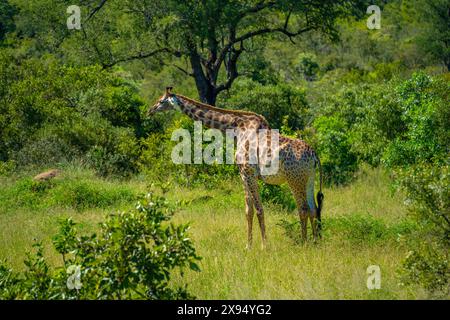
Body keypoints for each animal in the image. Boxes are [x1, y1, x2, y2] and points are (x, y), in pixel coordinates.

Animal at [149, 87, 324, 248]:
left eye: (161, 101)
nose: (150, 110)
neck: (236, 129)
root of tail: (314, 156)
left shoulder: (247, 172)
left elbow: (259, 209)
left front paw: (264, 245)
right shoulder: (244, 175)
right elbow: (249, 211)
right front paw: (248, 246)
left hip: (294, 179)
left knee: (303, 208)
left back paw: (304, 243)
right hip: (309, 178)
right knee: (313, 208)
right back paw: (315, 242)